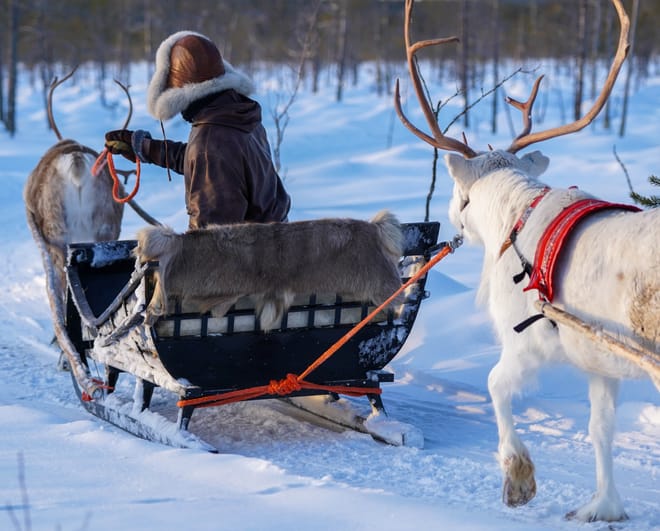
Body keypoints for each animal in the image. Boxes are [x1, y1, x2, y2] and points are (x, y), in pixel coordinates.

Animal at [395, 0, 659, 523]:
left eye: (457, 194)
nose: (453, 217)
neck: (514, 217)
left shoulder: (526, 342)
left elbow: (496, 386)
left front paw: (518, 478)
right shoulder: (599, 363)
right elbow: (600, 429)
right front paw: (604, 506)